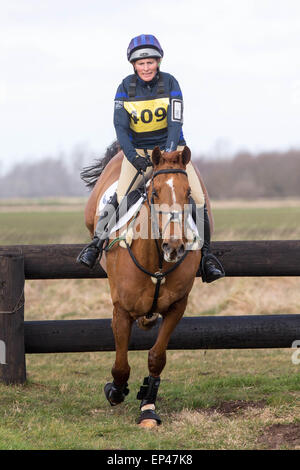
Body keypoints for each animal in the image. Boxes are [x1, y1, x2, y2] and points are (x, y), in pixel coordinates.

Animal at [82, 141, 213, 428]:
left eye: (188, 193)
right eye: (154, 193)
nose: (174, 246)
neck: (157, 263)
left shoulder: (177, 307)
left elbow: (156, 357)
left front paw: (148, 407)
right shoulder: (121, 310)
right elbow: (121, 364)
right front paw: (115, 391)